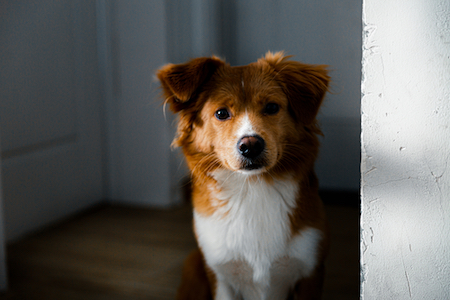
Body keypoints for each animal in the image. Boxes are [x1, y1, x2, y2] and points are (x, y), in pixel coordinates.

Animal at [158, 52, 330, 300]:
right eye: (221, 113)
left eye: (271, 107)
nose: (250, 145)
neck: (251, 188)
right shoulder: (221, 274)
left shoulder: (309, 270)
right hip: (193, 266)